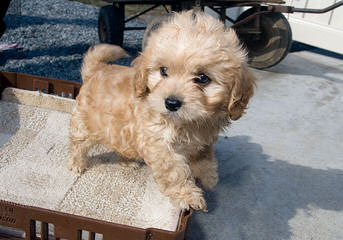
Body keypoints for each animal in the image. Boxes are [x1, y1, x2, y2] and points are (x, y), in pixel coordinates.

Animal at [68, 10, 255, 211]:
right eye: (163, 71)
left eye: (202, 78)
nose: (171, 103)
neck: (189, 123)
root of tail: (96, 70)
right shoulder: (158, 143)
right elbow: (175, 171)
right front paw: (189, 195)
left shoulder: (203, 141)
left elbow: (204, 157)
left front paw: (208, 176)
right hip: (85, 124)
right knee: (78, 144)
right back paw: (77, 164)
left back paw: (127, 161)